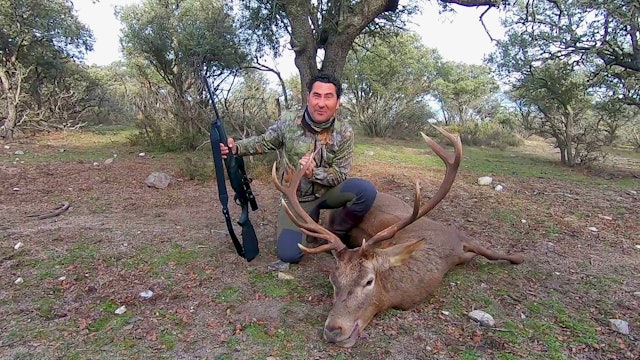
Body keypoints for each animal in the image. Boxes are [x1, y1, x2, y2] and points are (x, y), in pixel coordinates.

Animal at [272, 127, 524, 348]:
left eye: (369, 281)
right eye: (333, 280)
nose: (333, 330)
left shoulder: (456, 236)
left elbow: (491, 251)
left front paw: (518, 257)